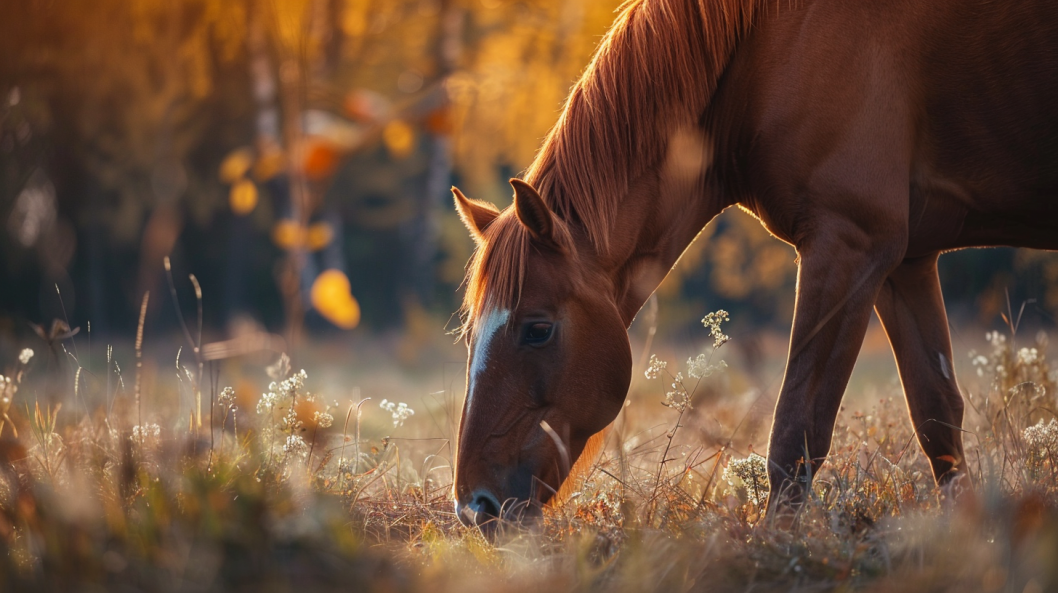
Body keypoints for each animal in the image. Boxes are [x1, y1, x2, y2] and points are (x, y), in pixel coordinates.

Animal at [448, 0, 1058, 527]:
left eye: (538, 329)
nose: (475, 507)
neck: (765, 45)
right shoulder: (903, 260)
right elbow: (938, 420)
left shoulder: (848, 243)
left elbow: (796, 433)